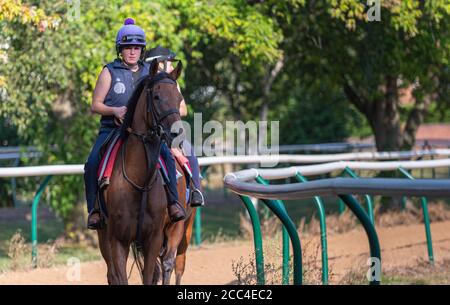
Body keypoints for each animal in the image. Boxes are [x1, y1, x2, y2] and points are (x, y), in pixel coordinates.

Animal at [97, 60, 196, 284]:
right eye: (157, 96)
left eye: (179, 98)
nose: (177, 134)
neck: (139, 182)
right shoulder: (118, 240)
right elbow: (120, 276)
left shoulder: (154, 238)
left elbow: (152, 273)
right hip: (103, 235)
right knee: (111, 273)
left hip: (183, 229)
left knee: (175, 265)